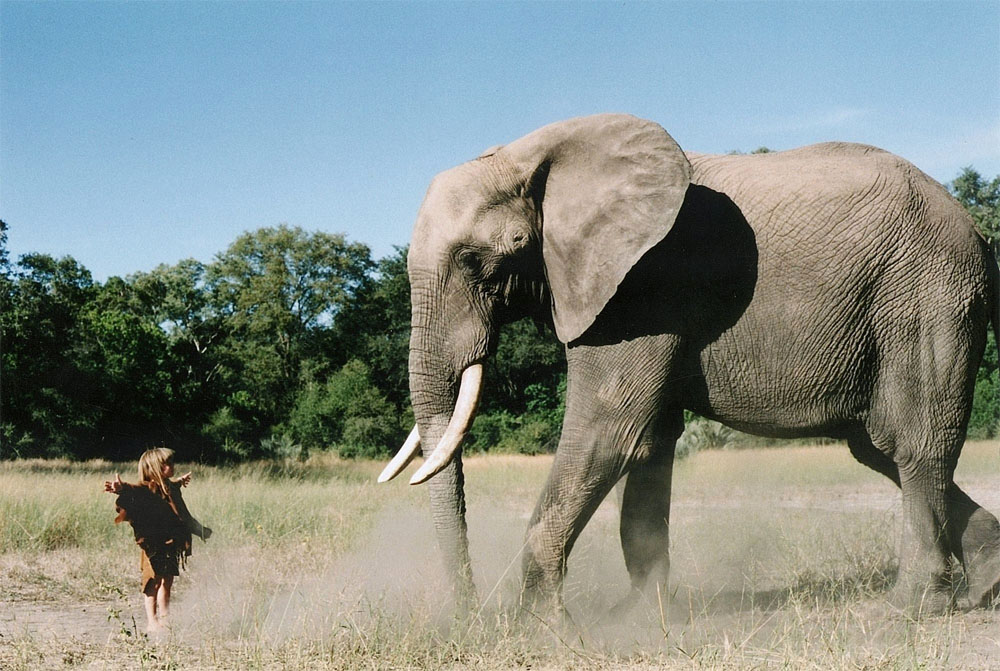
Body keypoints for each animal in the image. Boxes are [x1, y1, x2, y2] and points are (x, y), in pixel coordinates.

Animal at [376, 111, 1000, 620]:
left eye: (481, 258)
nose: (472, 616)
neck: (531, 153)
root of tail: (971, 223)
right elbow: (650, 443)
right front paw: (638, 616)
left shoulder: (642, 289)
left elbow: (608, 430)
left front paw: (539, 627)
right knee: (877, 446)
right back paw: (984, 585)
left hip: (927, 294)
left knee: (911, 444)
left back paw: (906, 608)